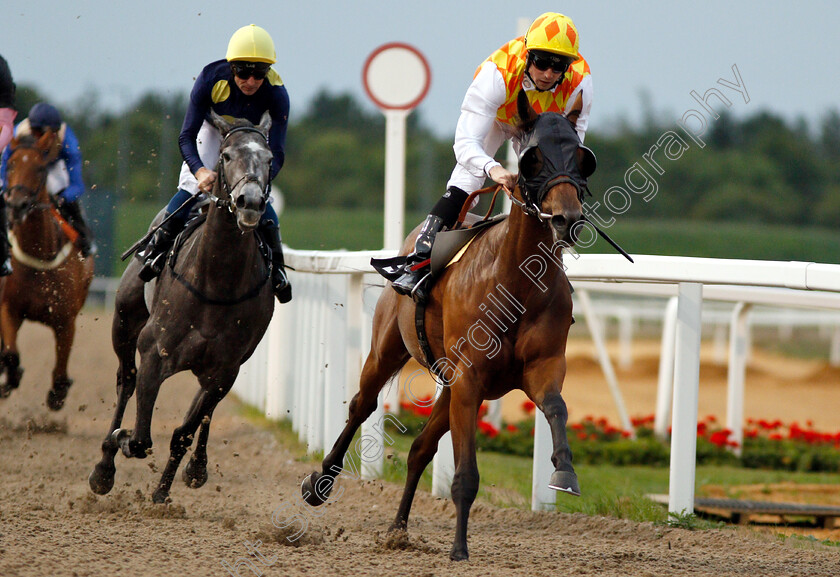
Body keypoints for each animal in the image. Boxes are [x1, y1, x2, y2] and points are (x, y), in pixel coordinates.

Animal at [0, 130, 94, 410]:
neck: (38, 253)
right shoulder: (9, 308)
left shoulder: (66, 320)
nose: (17, 204)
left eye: (40, 168)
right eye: (10, 165)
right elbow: (11, 354)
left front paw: (57, 394)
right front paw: (11, 377)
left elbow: (61, 373)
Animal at [90, 110, 278, 502]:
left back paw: (196, 468)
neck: (217, 282)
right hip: (124, 321)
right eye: (226, 156)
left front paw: (162, 494)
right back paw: (104, 466)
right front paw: (120, 441)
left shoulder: (225, 369)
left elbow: (184, 432)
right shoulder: (155, 352)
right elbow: (140, 438)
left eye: (270, 160)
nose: (250, 202)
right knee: (125, 380)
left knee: (203, 413)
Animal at [298, 102, 592, 560]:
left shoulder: (539, 368)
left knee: (420, 448)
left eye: (581, 158)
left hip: (450, 384)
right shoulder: (470, 378)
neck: (518, 282)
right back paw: (321, 483)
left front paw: (565, 472)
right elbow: (466, 472)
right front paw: (459, 548)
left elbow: (557, 407)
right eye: (533, 159)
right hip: (386, 350)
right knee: (361, 406)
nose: (567, 218)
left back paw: (398, 528)